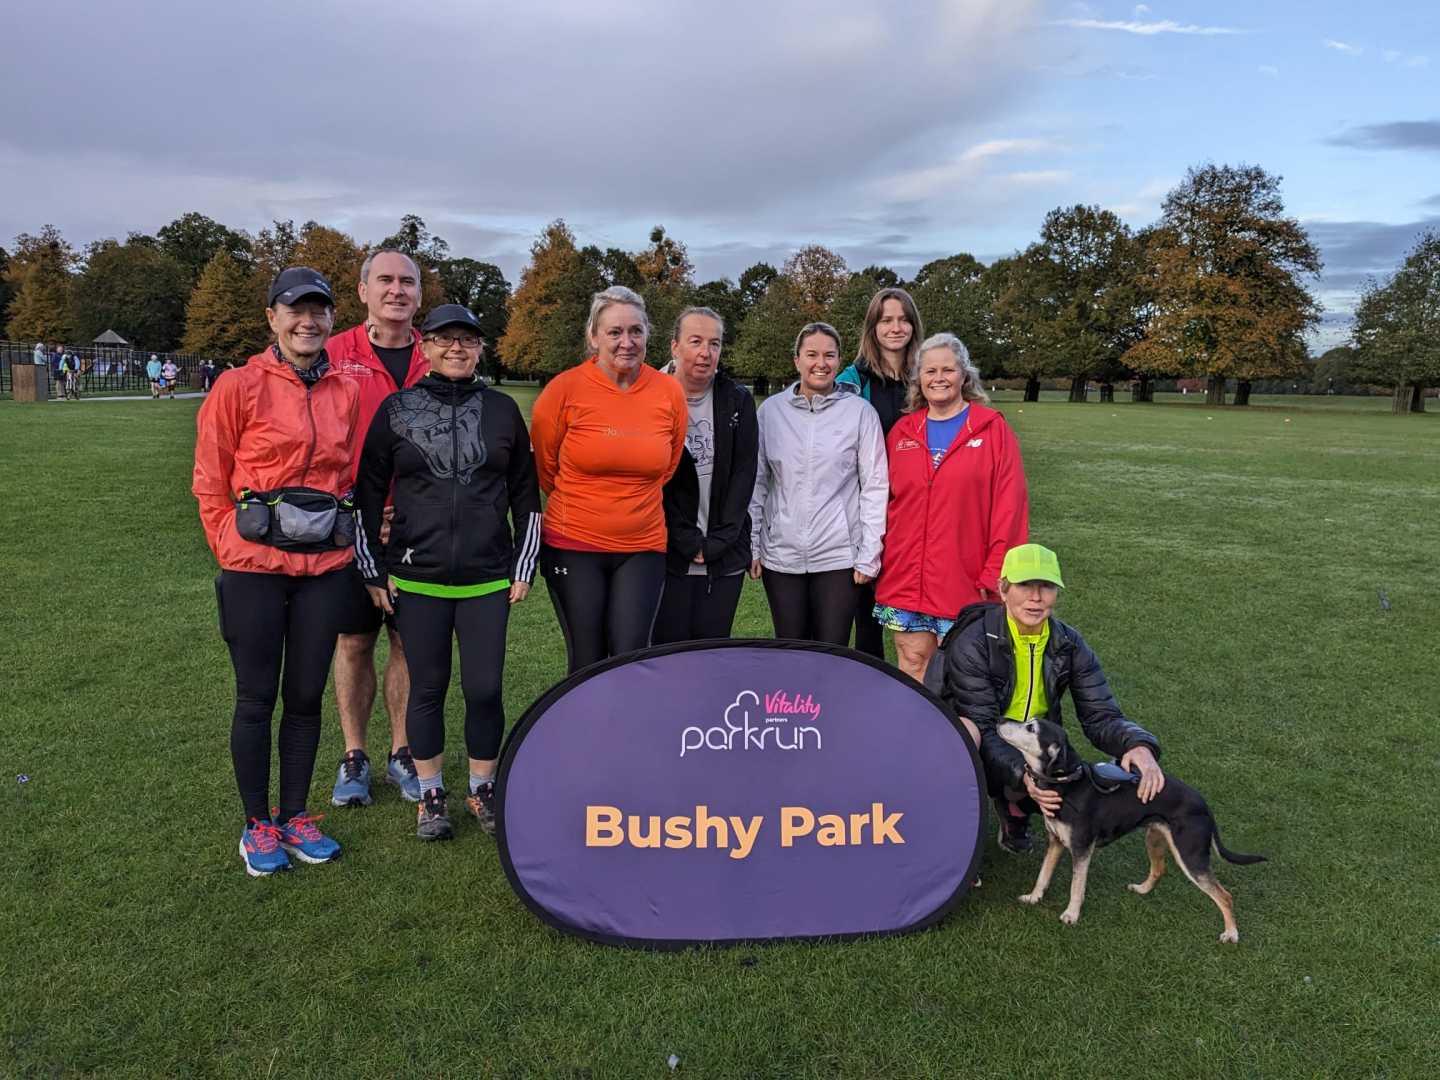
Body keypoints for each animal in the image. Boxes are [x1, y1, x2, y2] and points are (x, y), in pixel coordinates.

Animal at [996, 722, 1267, 944]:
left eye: (1031, 728)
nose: (1000, 720)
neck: (1066, 784)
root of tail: (1205, 805)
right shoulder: (1056, 842)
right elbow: (1042, 876)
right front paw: (1033, 898)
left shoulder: (1082, 849)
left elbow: (1076, 886)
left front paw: (1071, 915)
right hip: (1155, 838)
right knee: (1159, 869)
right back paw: (1141, 889)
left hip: (1191, 857)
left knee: (1225, 895)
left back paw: (1231, 933)